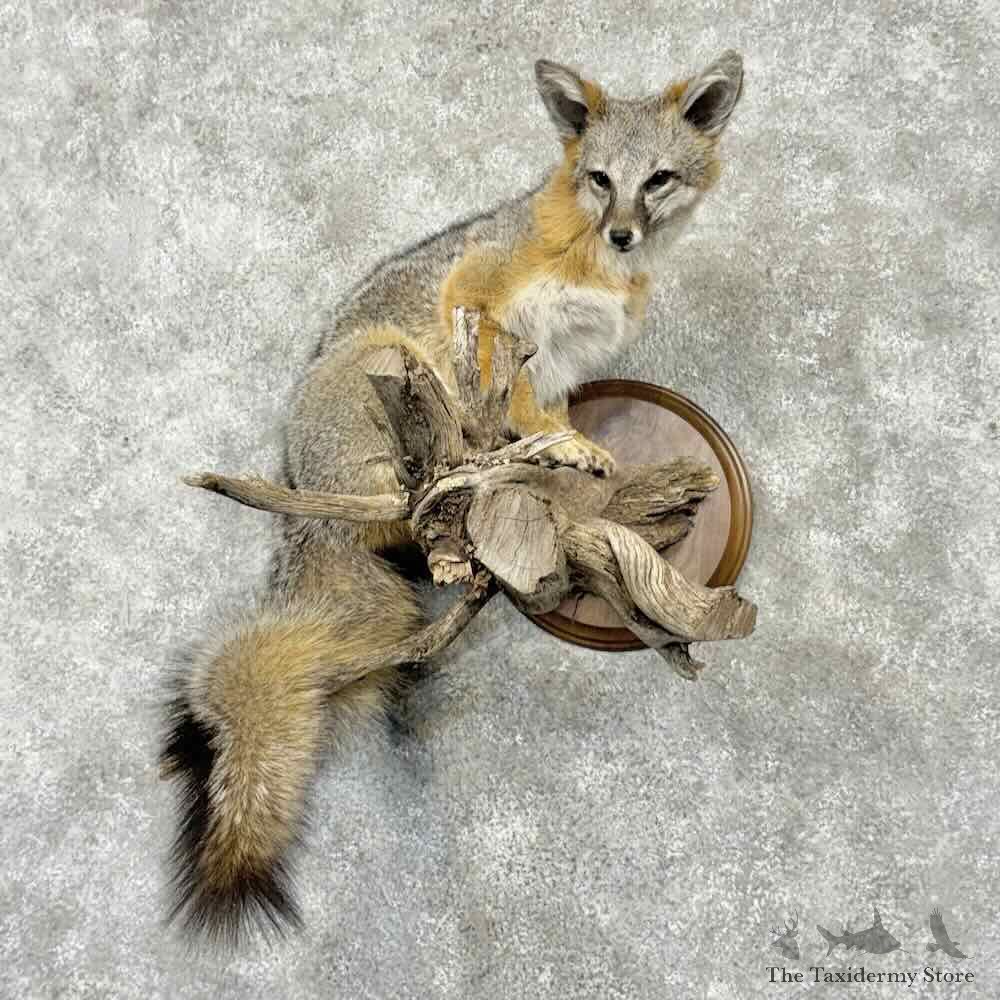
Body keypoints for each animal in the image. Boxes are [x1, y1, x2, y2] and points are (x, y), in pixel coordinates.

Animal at [160, 51, 745, 942]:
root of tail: (294, 488)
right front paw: (545, 451)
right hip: (389, 364)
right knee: (409, 497)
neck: (597, 268)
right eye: (602, 179)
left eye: (658, 180)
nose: (622, 232)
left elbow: (543, 415)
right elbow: (508, 394)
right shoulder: (478, 298)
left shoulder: (564, 366)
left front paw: (560, 458)